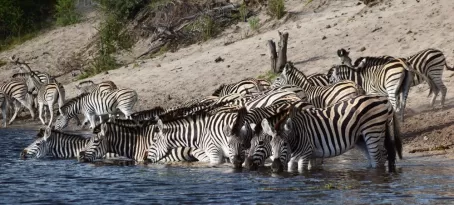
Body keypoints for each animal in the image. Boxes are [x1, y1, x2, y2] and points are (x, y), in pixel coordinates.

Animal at [268, 95, 402, 173]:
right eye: (271, 146)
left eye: (285, 144)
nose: (274, 168)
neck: (298, 133)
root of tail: (384, 100)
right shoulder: (300, 157)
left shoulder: (304, 155)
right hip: (363, 138)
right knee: (380, 157)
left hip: (373, 131)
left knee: (379, 158)